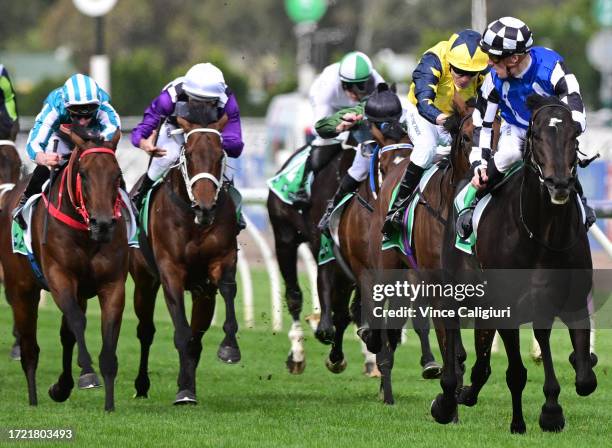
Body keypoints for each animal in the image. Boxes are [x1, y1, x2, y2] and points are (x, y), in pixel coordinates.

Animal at [0, 125, 126, 410]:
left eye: (117, 175)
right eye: (84, 174)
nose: (103, 224)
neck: (85, 234)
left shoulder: (113, 284)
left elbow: (108, 336)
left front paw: (109, 403)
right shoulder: (59, 277)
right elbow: (78, 321)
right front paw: (88, 372)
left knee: (65, 336)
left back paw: (62, 386)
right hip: (22, 289)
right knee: (30, 347)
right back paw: (33, 397)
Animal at [130, 107, 240, 404]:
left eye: (220, 154)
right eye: (189, 154)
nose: (205, 207)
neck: (194, 222)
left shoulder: (221, 261)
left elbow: (228, 289)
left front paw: (229, 348)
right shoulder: (171, 271)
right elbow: (181, 331)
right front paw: (183, 392)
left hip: (202, 292)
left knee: (197, 339)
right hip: (143, 281)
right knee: (146, 331)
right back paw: (142, 385)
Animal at [432, 95, 600, 434]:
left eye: (574, 137)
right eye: (537, 136)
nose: (559, 183)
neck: (543, 232)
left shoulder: (571, 300)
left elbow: (584, 378)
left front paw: (551, 410)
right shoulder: (507, 306)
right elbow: (516, 373)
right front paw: (520, 423)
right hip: (457, 288)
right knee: (451, 327)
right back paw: (447, 398)